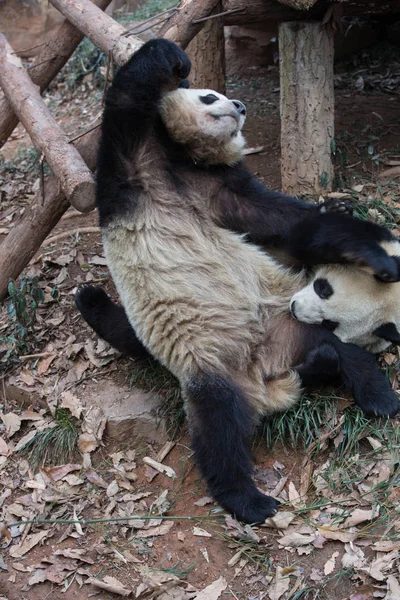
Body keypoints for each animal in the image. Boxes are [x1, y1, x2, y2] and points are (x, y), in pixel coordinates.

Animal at [75, 38, 400, 524]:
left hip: (292, 321)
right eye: (210, 96)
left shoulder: (221, 189)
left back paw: (374, 393)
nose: (240, 105)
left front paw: (368, 245)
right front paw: (172, 59)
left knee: (344, 353)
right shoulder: (132, 174)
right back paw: (249, 499)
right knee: (219, 429)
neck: (183, 162)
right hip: (209, 363)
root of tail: (263, 373)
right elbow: (125, 101)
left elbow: (290, 223)